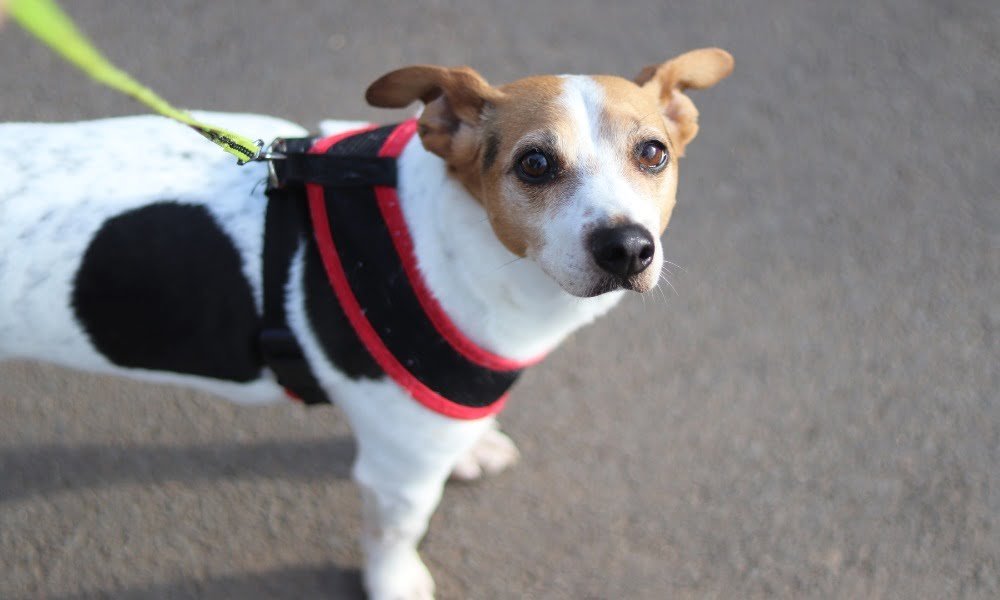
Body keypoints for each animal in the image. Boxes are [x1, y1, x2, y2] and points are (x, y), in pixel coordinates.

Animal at [0, 49, 736, 596]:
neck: (451, 236)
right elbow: (394, 538)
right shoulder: (398, 473)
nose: (628, 247)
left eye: (653, 153)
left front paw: (474, 448)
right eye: (534, 164)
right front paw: (396, 582)